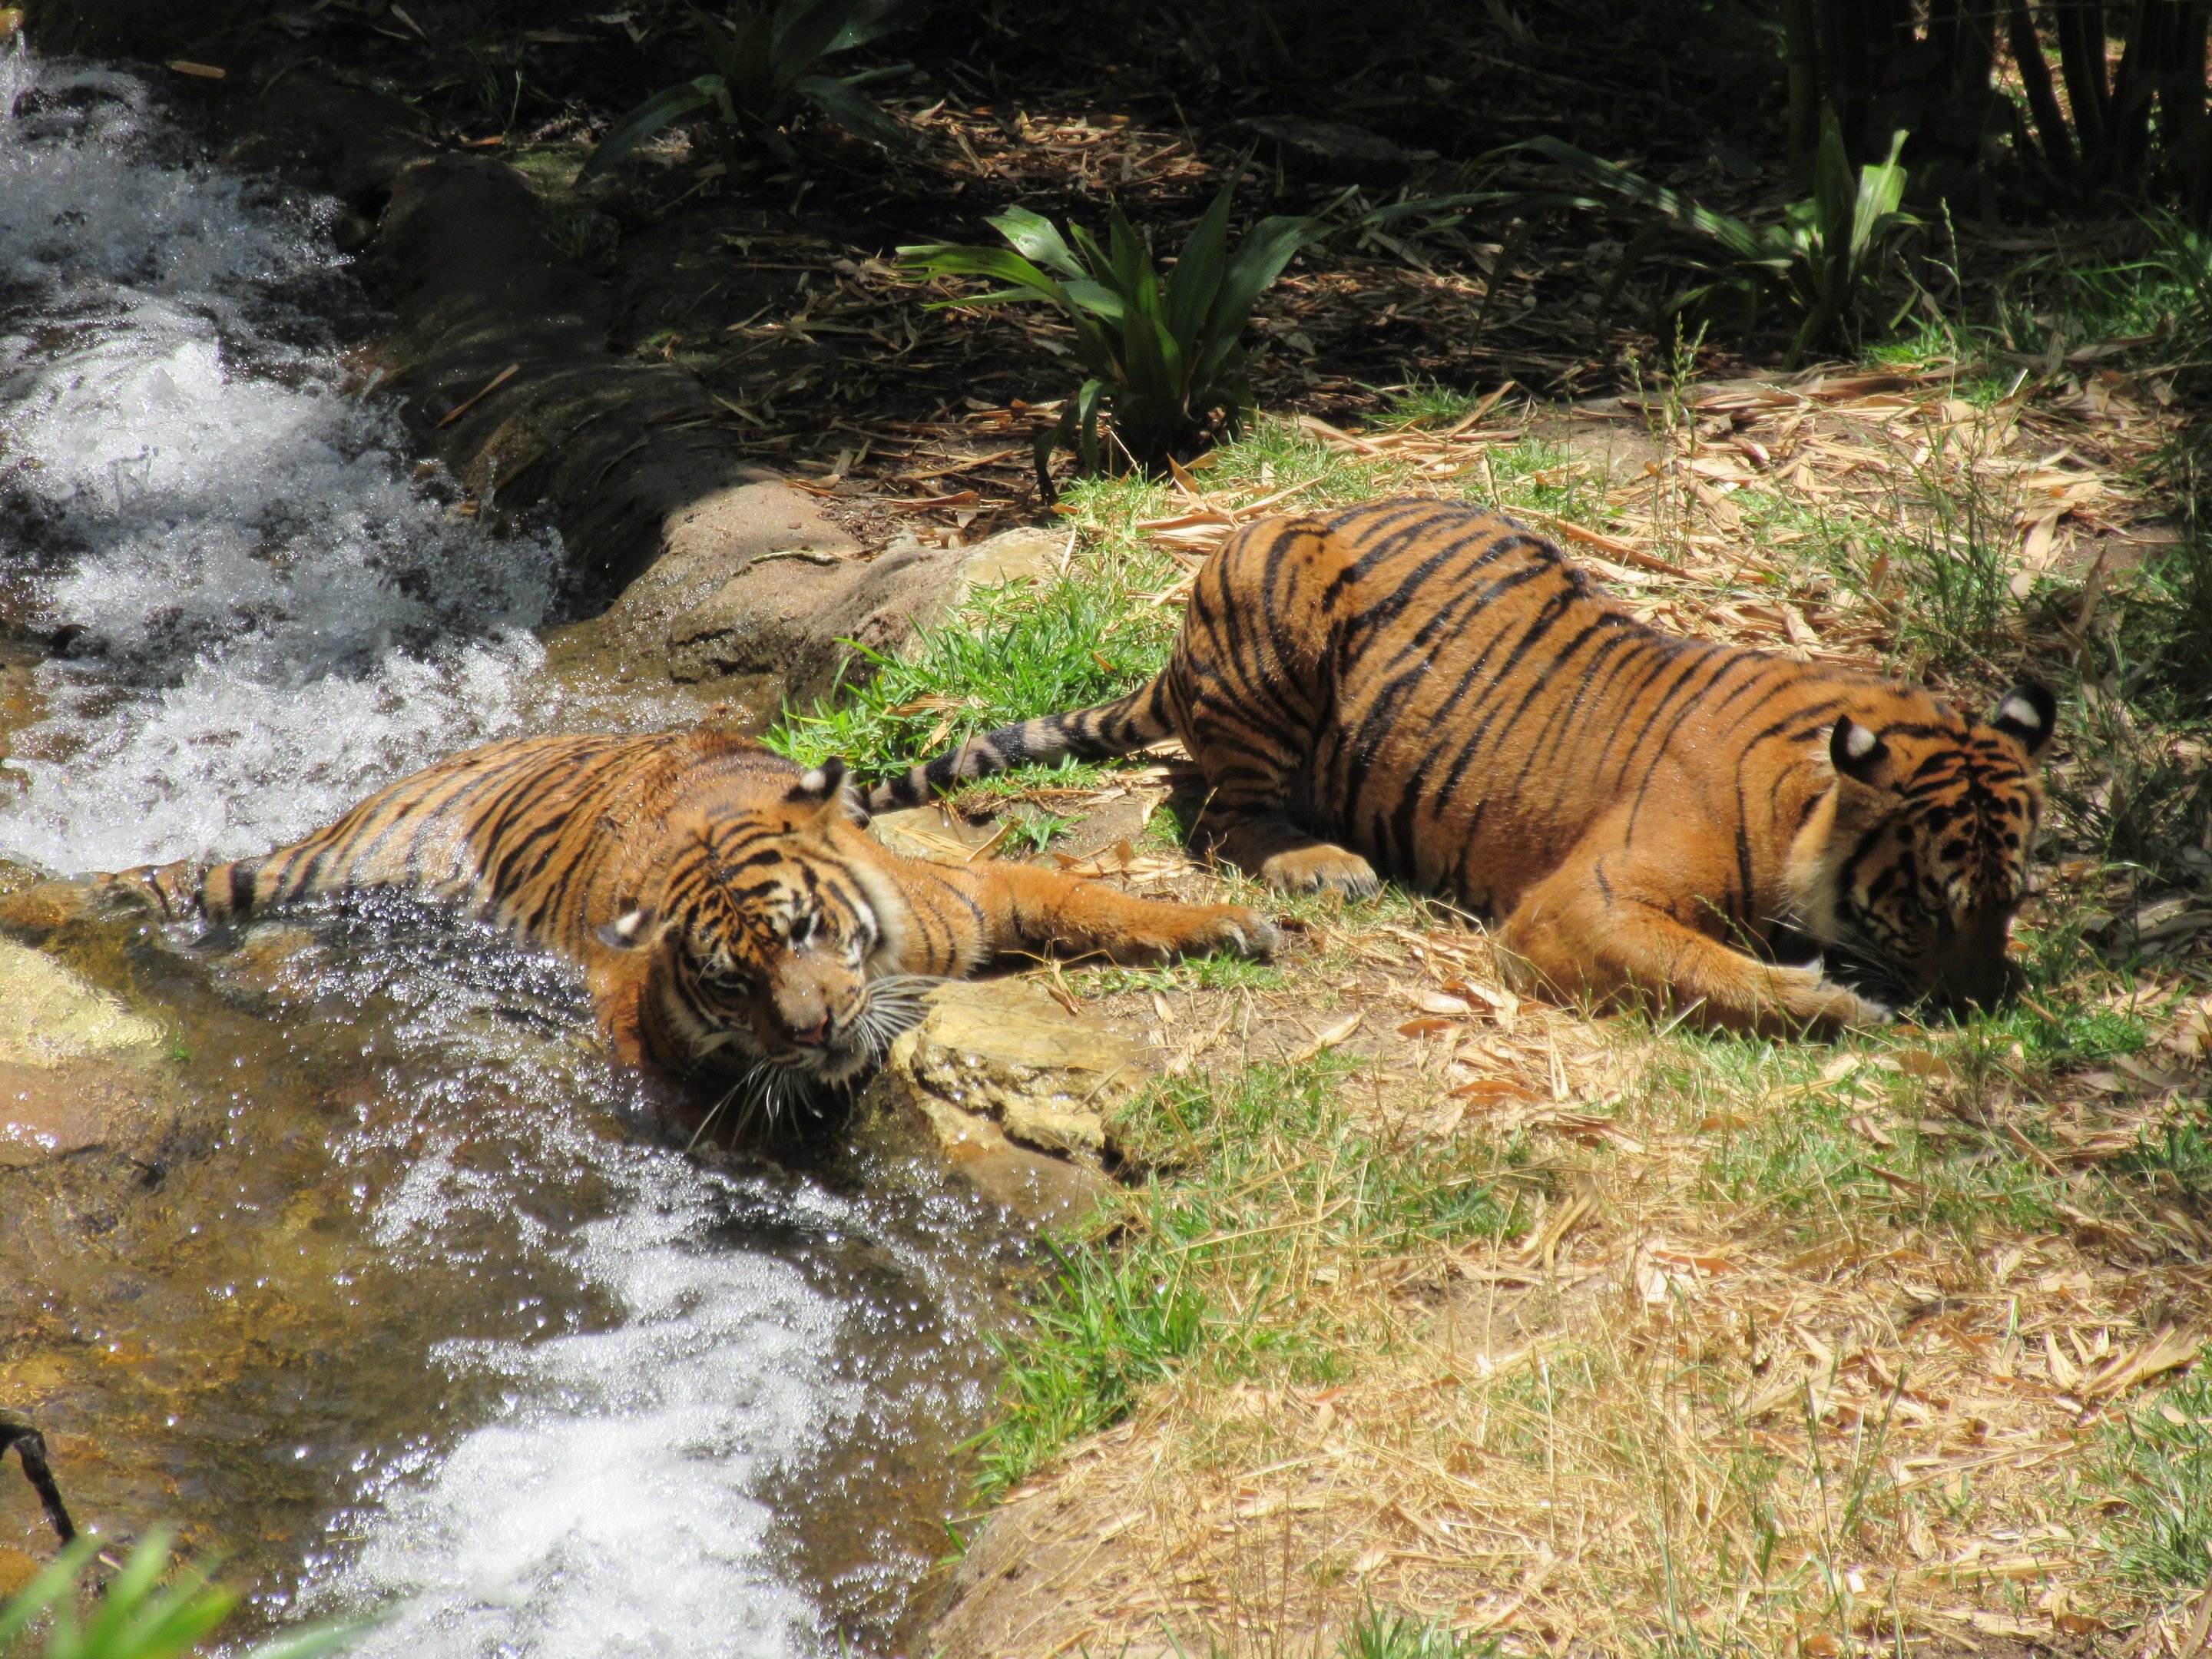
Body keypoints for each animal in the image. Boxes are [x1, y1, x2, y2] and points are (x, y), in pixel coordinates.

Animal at [90, 731, 1277, 1109]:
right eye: (730, 980)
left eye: (803, 934)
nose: (817, 1030)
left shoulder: (975, 896)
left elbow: (1088, 896)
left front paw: (1227, 926)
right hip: (329, 867)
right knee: (221, 883)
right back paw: (118, 896)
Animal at [868, 500, 2056, 1034]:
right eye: (1929, 903)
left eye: (2009, 903)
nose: (1985, 1012)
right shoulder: (1583, 904)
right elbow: (1709, 971)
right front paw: (1845, 1006)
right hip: (1278, 608)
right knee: (1215, 813)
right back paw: (1321, 863)